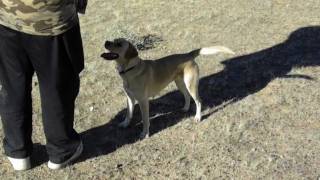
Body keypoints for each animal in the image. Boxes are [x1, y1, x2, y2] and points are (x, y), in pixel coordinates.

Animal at [101, 38, 234, 139]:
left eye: (119, 44)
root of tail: (188, 55)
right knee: (186, 96)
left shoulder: (143, 101)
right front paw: (125, 124)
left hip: (190, 84)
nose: (106, 42)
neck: (130, 69)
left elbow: (145, 120)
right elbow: (128, 113)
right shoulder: (129, 98)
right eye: (113, 39)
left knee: (198, 101)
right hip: (180, 83)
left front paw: (145, 134)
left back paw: (198, 117)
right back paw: (185, 108)